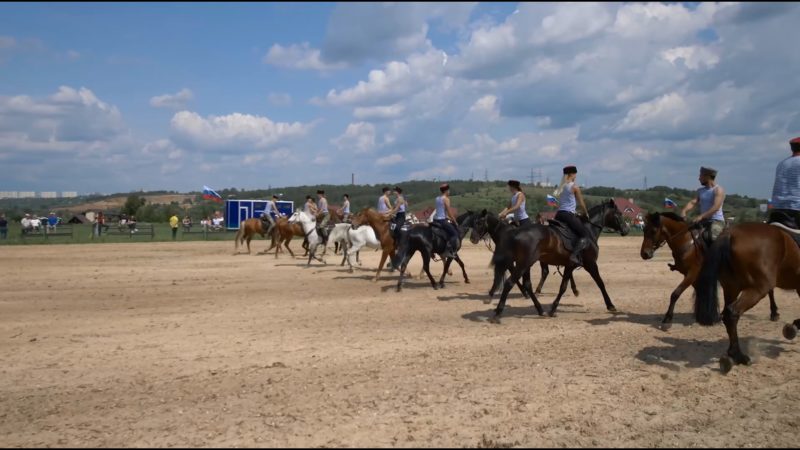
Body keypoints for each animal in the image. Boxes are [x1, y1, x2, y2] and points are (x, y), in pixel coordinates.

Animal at [488, 200, 632, 324]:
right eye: (619, 214)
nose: (626, 230)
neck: (588, 231)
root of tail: (516, 231)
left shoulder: (569, 266)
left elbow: (563, 287)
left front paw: (553, 309)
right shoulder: (590, 264)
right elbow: (600, 283)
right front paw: (611, 305)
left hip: (524, 264)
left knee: (524, 284)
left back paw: (538, 310)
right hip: (524, 264)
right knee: (509, 283)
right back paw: (498, 313)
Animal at [640, 211, 780, 330]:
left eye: (653, 231)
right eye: (644, 230)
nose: (644, 254)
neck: (687, 243)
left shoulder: (692, 273)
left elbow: (675, 293)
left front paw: (667, 321)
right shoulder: (692, 276)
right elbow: (700, 292)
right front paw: (705, 316)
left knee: (769, 289)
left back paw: (774, 313)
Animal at [692, 221, 800, 372]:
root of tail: (730, 233)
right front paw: (792, 328)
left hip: (731, 287)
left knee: (727, 315)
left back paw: (732, 355)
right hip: (757, 289)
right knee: (733, 313)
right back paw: (739, 356)